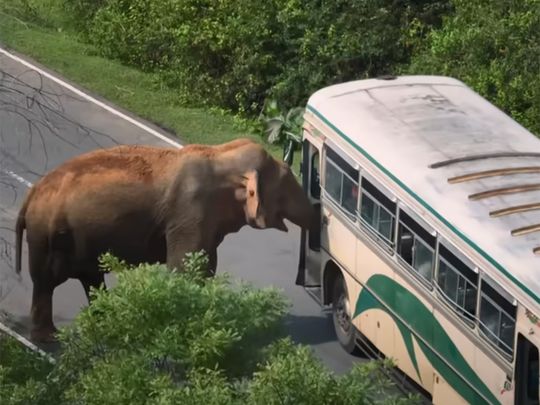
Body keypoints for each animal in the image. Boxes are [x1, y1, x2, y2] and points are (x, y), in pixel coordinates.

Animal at [14, 138, 314, 340]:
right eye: (288, 180)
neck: (219, 153)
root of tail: (31, 195)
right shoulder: (190, 211)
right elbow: (184, 268)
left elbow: (206, 265)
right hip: (47, 236)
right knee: (47, 281)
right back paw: (50, 338)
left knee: (88, 279)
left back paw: (105, 324)